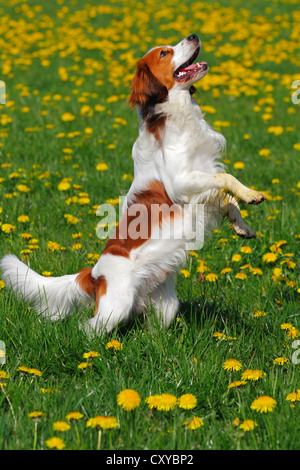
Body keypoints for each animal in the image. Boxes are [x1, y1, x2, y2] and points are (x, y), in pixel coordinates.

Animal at [1, 35, 266, 336]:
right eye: (164, 53)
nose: (194, 36)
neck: (177, 116)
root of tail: (95, 274)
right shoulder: (181, 182)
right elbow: (227, 180)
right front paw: (251, 195)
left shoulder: (205, 175)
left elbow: (227, 197)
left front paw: (242, 226)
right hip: (115, 307)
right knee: (87, 328)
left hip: (165, 305)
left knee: (153, 330)